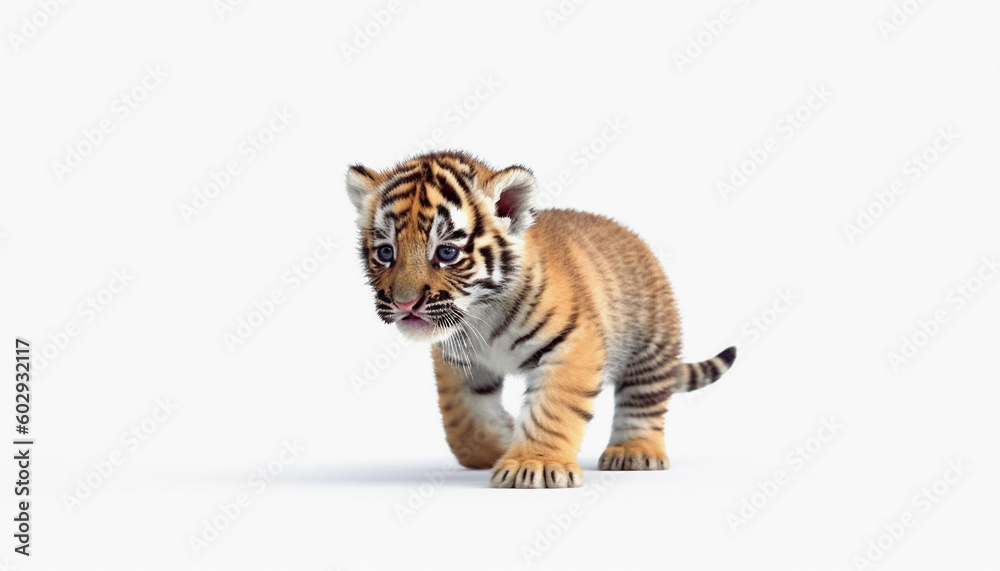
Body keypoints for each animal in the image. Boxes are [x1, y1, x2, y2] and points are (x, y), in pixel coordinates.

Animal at [346, 150, 736, 489]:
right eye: (386, 253)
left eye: (446, 253)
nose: (405, 303)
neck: (481, 316)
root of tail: (631, 236)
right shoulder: (459, 360)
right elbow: (462, 417)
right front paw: (498, 443)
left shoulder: (572, 347)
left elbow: (553, 410)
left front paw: (533, 465)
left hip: (650, 345)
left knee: (643, 401)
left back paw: (633, 451)